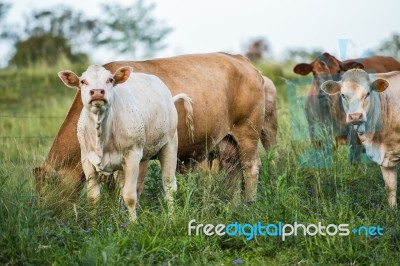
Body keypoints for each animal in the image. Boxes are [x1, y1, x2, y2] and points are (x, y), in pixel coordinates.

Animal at [34, 52, 266, 202]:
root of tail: (240, 59)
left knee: (250, 167)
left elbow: (131, 190)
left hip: (247, 131)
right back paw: (233, 207)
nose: (45, 216)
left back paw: (249, 204)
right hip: (227, 142)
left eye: (46, 191)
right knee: (233, 170)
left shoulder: (137, 155)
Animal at [58, 64, 195, 220]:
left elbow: (129, 195)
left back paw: (171, 217)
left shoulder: (132, 156)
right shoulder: (86, 159)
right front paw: (92, 223)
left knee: (169, 185)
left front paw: (133, 223)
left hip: (169, 145)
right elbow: (93, 197)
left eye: (110, 79)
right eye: (83, 81)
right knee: (124, 187)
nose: (97, 92)